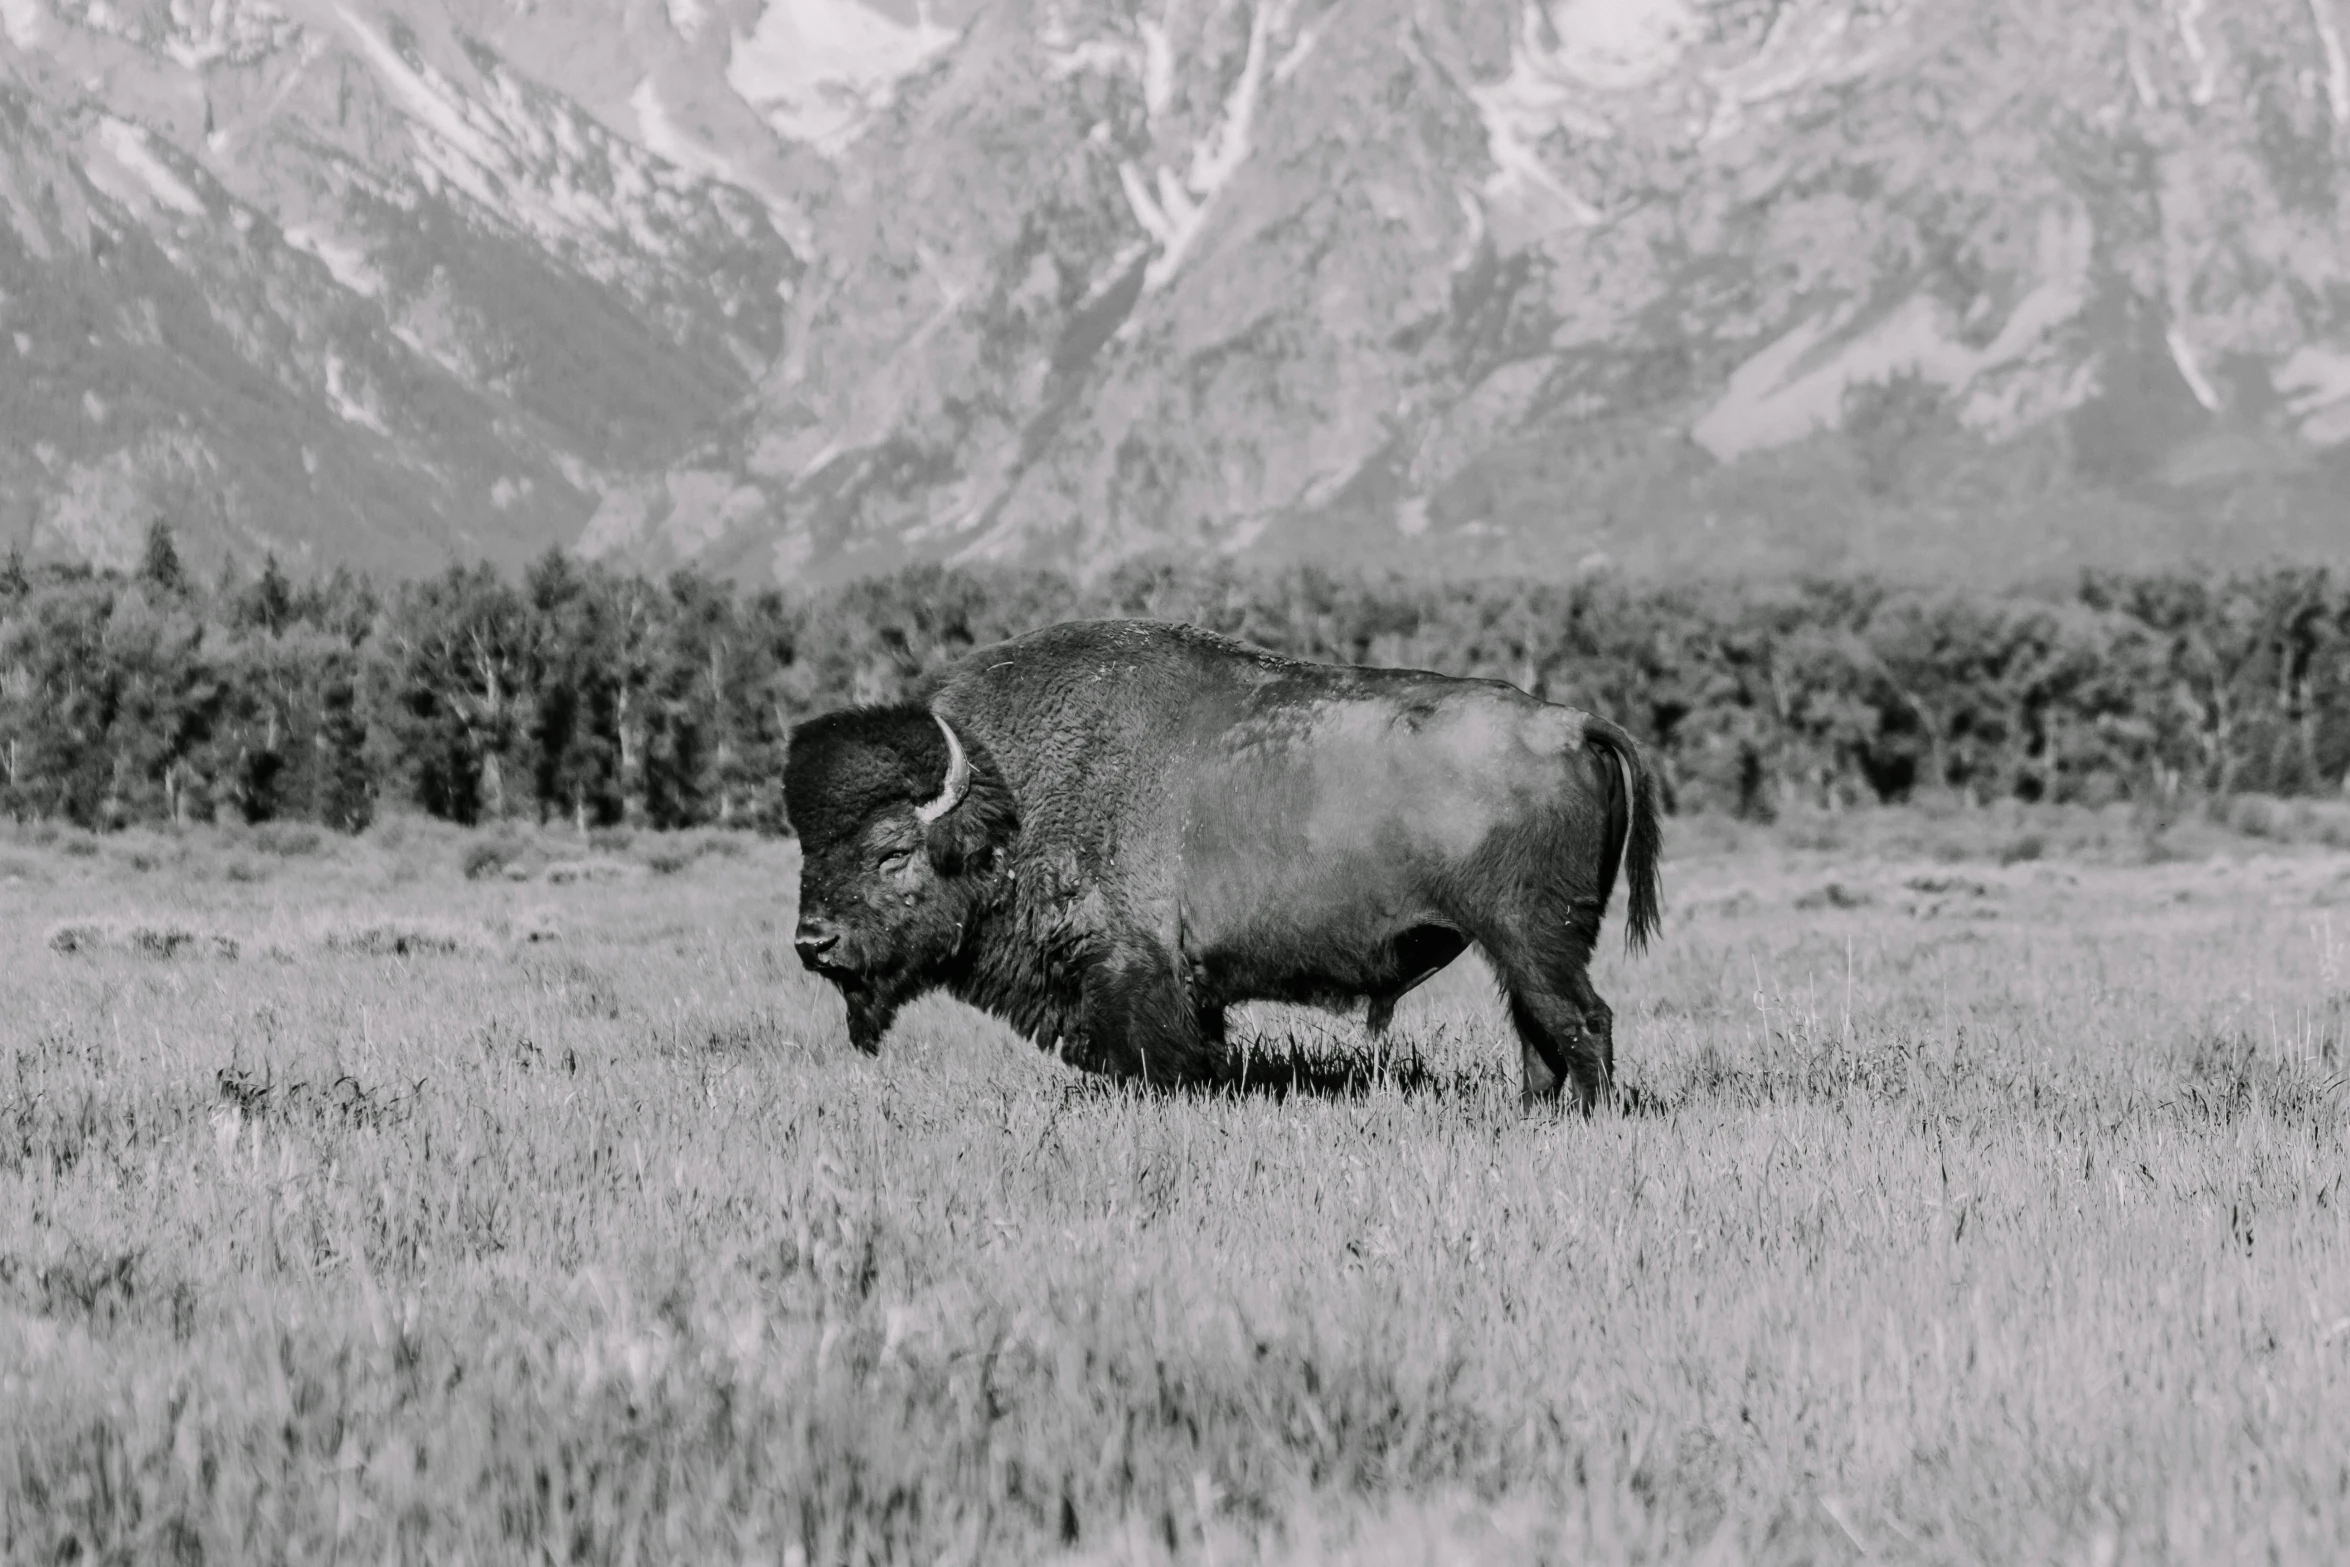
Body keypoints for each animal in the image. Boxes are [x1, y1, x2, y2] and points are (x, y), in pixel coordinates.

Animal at [780, 620, 1663, 1108]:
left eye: (892, 852)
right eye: (806, 846)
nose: (812, 942)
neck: (1014, 798)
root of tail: (1574, 722)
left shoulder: (1132, 974)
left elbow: (1158, 1060)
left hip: (1533, 938)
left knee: (1583, 1022)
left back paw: (1586, 1118)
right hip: (1516, 949)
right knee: (1541, 1035)